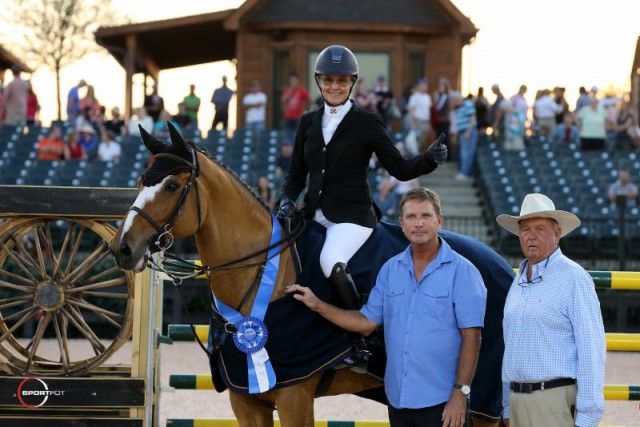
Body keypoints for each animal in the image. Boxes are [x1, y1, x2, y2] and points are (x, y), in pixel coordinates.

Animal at [110, 123, 510, 427]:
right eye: (140, 182)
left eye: (171, 186)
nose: (122, 248)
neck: (259, 272)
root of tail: (503, 264)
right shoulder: (246, 400)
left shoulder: (295, 393)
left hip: (483, 403)